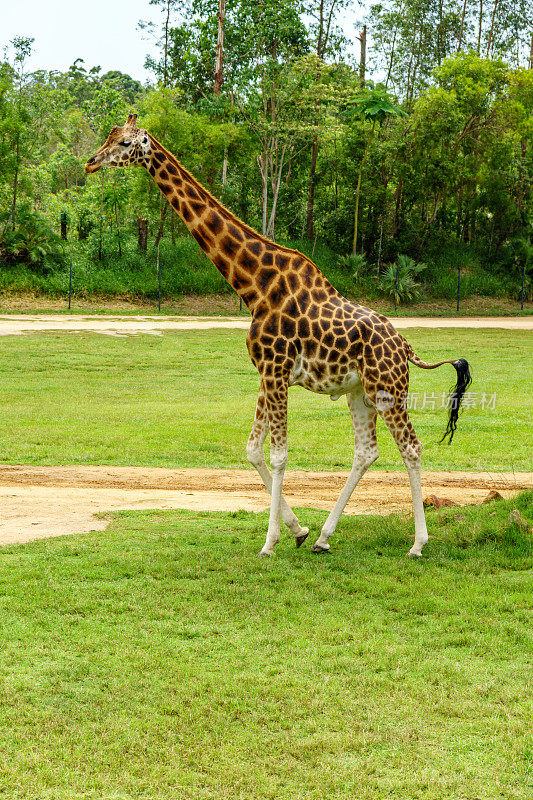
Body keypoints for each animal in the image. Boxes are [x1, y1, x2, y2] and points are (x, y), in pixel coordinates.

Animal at [84, 115, 470, 560]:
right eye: (110, 136)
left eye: (126, 143)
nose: (90, 163)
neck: (255, 286)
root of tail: (406, 347)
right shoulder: (267, 373)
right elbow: (253, 449)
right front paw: (298, 529)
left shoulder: (277, 370)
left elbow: (279, 454)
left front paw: (270, 543)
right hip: (360, 391)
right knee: (366, 451)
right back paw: (324, 537)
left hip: (388, 388)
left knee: (412, 448)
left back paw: (418, 544)